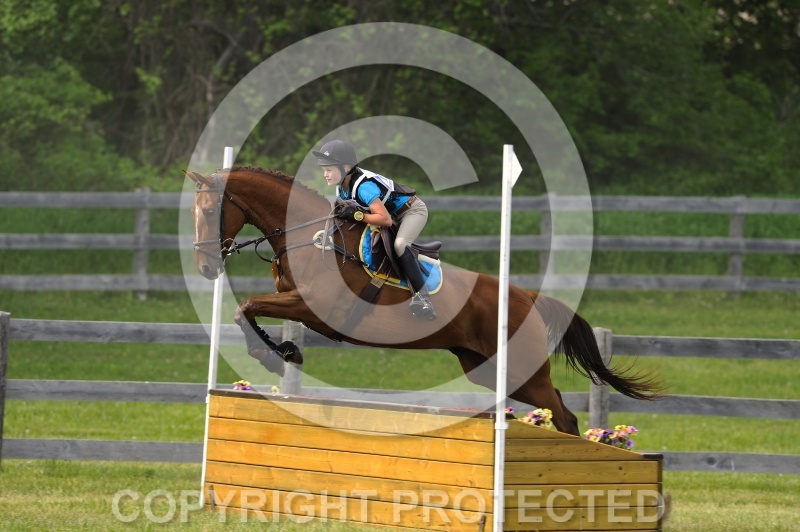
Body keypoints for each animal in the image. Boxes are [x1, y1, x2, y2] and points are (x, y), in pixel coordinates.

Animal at [186, 166, 662, 435]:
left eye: (210, 212)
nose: (206, 266)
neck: (310, 235)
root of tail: (525, 295)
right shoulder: (291, 300)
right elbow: (246, 310)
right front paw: (283, 351)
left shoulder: (313, 307)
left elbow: (246, 306)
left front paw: (274, 356)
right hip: (486, 369)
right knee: (557, 407)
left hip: (522, 368)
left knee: (563, 415)